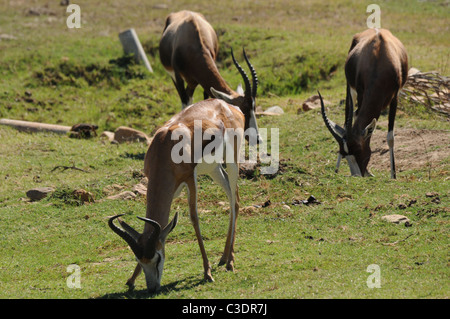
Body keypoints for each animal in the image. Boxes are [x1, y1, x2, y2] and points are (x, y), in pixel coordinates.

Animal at [107, 98, 244, 296]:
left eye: (158, 257)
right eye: (139, 260)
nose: (152, 288)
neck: (165, 146)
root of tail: (226, 105)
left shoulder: (190, 179)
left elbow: (194, 219)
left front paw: (207, 273)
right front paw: (131, 280)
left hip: (233, 161)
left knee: (234, 201)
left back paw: (230, 262)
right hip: (214, 169)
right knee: (232, 196)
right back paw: (224, 258)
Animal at [160, 10, 262, 144]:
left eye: (254, 107)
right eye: (243, 110)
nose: (258, 139)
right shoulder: (178, 77)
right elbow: (184, 101)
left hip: (192, 82)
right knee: (186, 99)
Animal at [320, 28, 408, 179]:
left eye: (358, 150)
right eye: (345, 155)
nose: (356, 176)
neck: (379, 58)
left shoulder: (395, 98)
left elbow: (390, 137)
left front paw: (393, 176)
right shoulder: (361, 93)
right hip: (351, 90)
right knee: (347, 118)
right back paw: (337, 169)